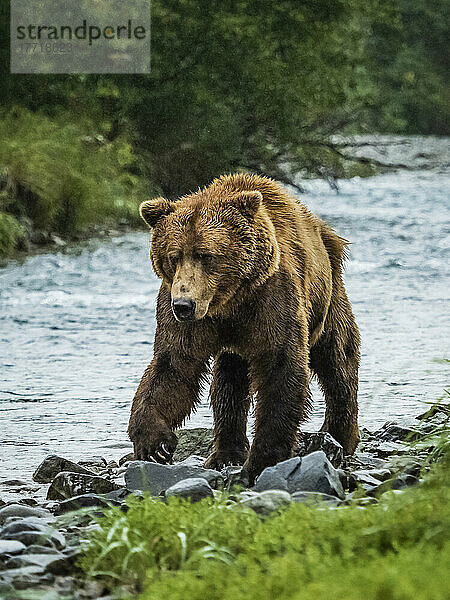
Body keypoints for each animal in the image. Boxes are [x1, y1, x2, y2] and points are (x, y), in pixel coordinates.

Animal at [128, 172, 360, 482]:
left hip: (329, 291)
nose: (184, 305)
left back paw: (340, 435)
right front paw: (154, 443)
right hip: (232, 344)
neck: (229, 300)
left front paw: (261, 462)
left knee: (338, 355)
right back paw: (226, 452)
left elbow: (280, 365)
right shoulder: (181, 310)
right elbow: (173, 365)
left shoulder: (272, 299)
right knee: (229, 381)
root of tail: (324, 229)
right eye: (173, 255)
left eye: (205, 254)